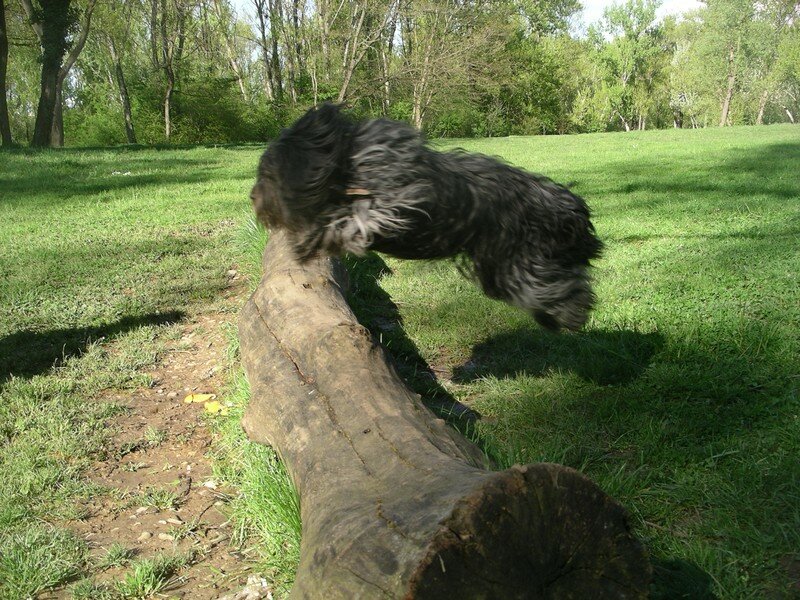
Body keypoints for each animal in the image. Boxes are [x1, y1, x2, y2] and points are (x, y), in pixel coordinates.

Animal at [250, 102, 600, 328]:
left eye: (267, 173)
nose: (253, 198)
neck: (345, 168)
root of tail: (570, 206)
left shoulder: (398, 195)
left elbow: (362, 217)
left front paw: (326, 233)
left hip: (527, 257)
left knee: (557, 285)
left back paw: (572, 314)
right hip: (502, 264)